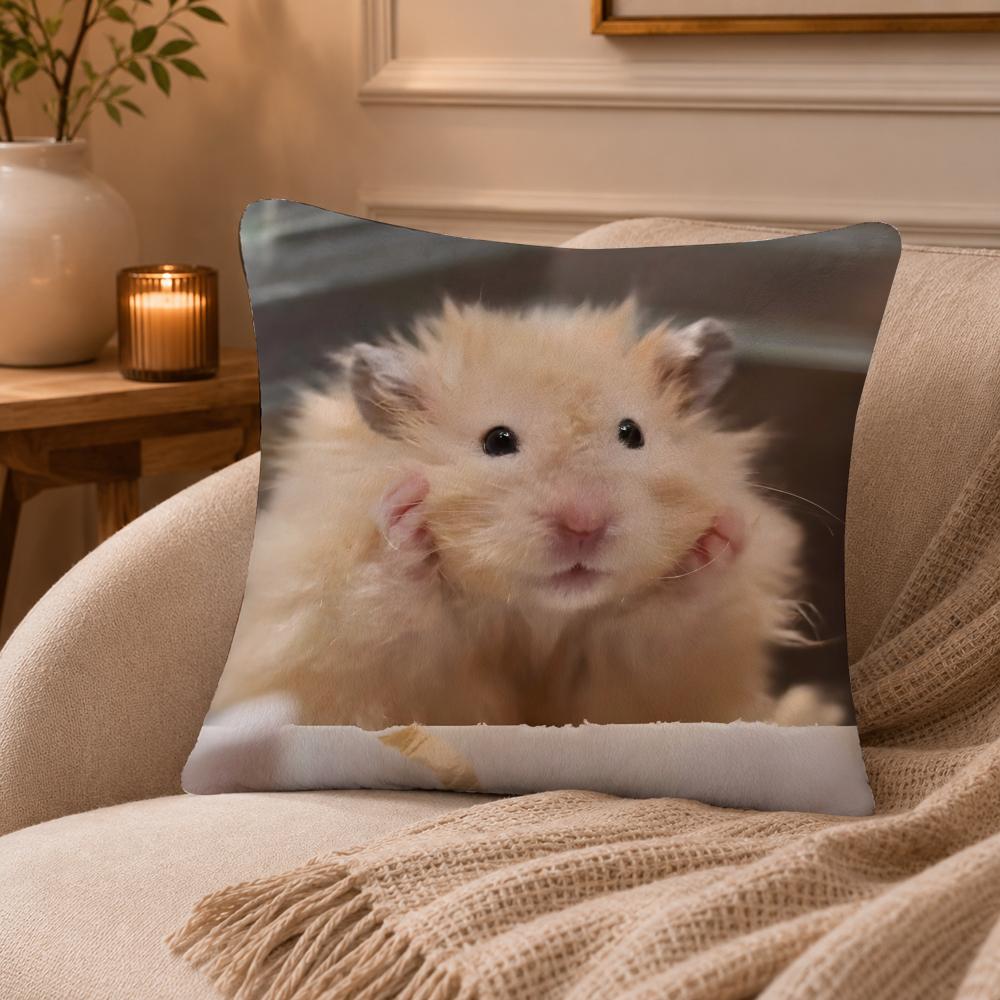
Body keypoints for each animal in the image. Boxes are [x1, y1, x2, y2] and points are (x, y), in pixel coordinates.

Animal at [211, 298, 826, 729]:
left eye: (632, 433)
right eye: (497, 441)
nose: (584, 525)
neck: (536, 618)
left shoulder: (657, 671)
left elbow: (674, 634)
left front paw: (713, 542)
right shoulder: (352, 644)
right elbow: (382, 606)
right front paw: (406, 520)